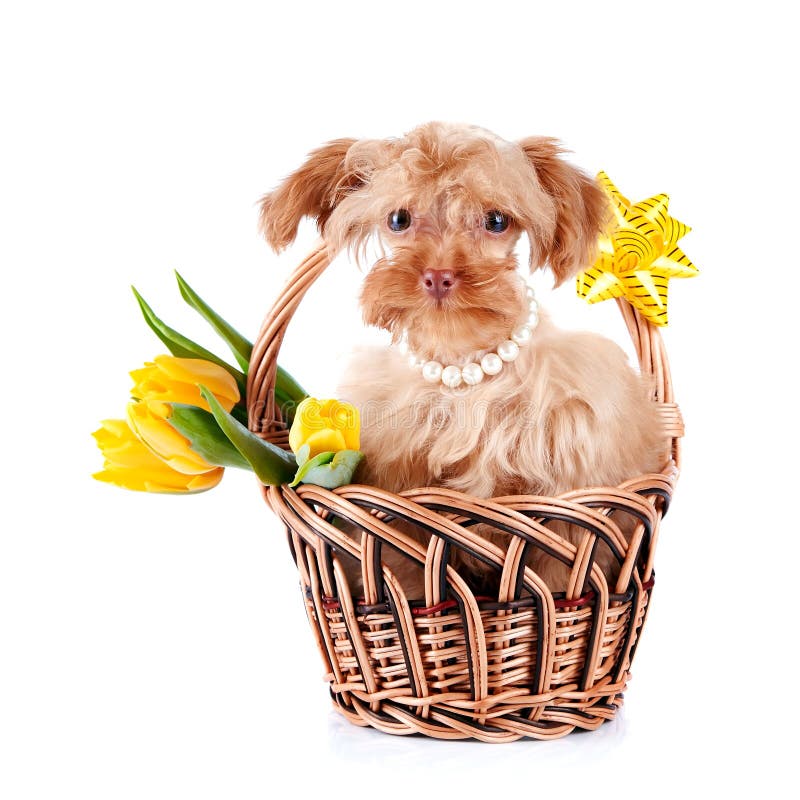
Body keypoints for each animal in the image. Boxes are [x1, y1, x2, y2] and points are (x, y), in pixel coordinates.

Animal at [260, 122, 664, 596]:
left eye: (497, 221)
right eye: (399, 219)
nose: (438, 276)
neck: (462, 370)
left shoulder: (565, 504)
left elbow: (560, 571)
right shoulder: (398, 505)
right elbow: (406, 571)